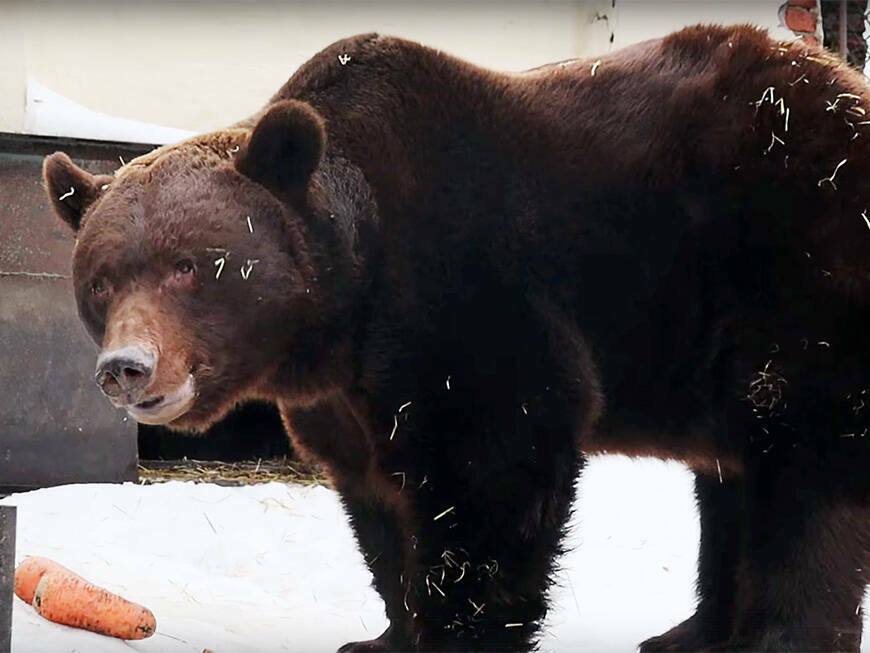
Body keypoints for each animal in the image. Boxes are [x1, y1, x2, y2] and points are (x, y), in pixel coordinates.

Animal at [44, 24, 870, 652]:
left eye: (191, 265)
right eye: (101, 279)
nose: (127, 366)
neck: (343, 306)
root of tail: (847, 85)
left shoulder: (469, 298)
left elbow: (488, 481)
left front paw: (456, 630)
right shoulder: (344, 400)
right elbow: (378, 509)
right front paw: (383, 633)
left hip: (788, 271)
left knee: (804, 475)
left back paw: (777, 633)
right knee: (731, 476)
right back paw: (691, 631)